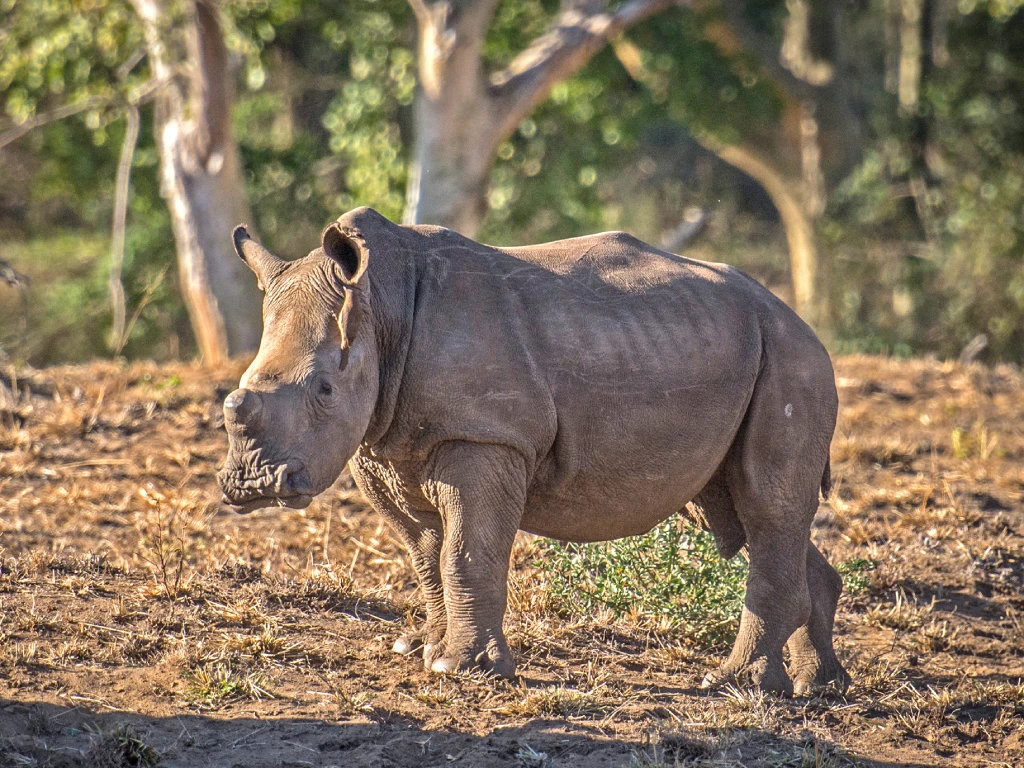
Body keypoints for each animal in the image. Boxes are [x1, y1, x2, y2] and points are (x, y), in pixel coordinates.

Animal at [218, 207, 849, 696]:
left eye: (325, 389)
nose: (251, 485)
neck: (380, 305)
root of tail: (799, 319)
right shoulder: (384, 448)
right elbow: (426, 557)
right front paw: (426, 652)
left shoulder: (485, 434)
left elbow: (467, 553)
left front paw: (462, 669)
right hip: (727, 351)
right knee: (743, 511)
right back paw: (817, 687)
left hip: (792, 360)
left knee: (766, 506)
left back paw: (734, 684)